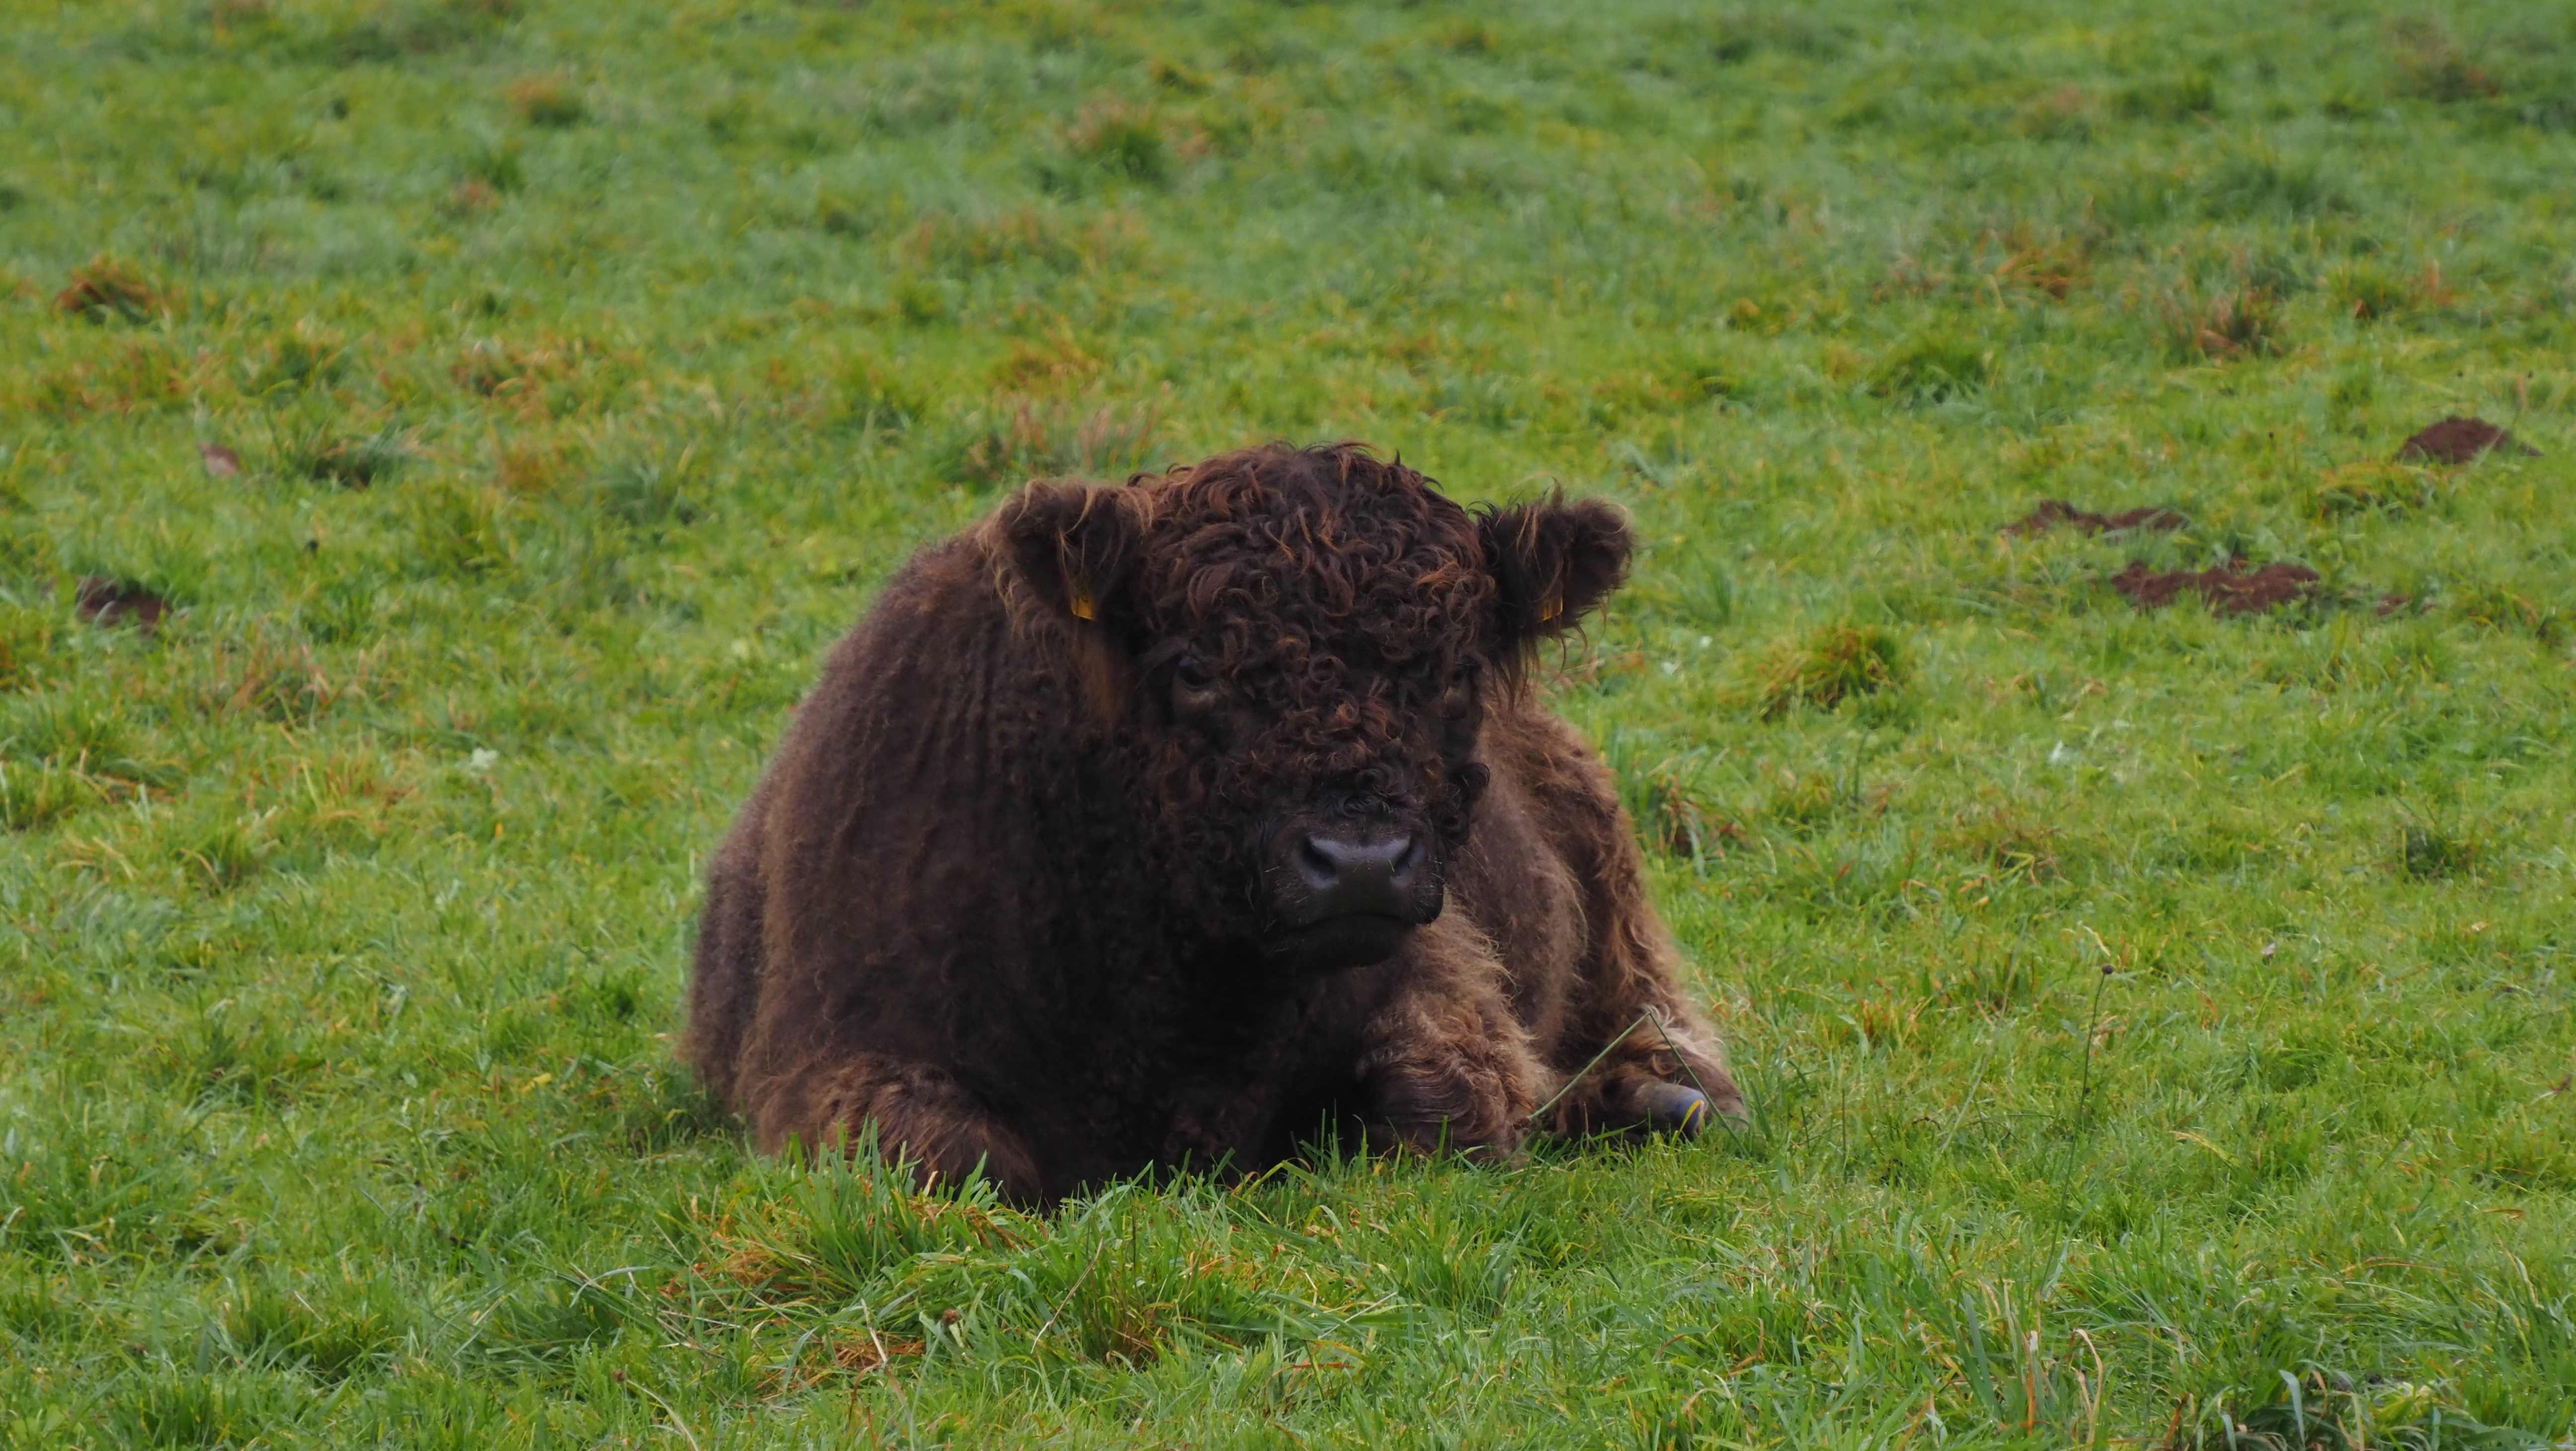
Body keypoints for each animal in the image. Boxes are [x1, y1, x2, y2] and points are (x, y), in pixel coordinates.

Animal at [685, 440, 1741, 1206]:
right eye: (1194, 669)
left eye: (1456, 673)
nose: (1359, 862)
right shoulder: (839, 1062)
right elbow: (952, 1158)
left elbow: (1443, 1110)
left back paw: (1660, 1094)